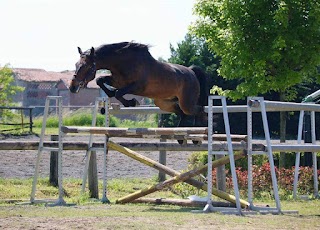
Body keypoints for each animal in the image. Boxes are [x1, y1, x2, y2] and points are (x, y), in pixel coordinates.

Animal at [69, 41, 209, 127]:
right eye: (76, 65)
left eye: (86, 67)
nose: (72, 87)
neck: (124, 63)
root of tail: (191, 71)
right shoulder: (117, 81)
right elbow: (100, 80)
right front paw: (112, 94)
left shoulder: (137, 86)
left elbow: (119, 92)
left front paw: (130, 102)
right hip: (164, 103)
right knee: (182, 113)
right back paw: (180, 136)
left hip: (186, 103)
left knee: (198, 110)